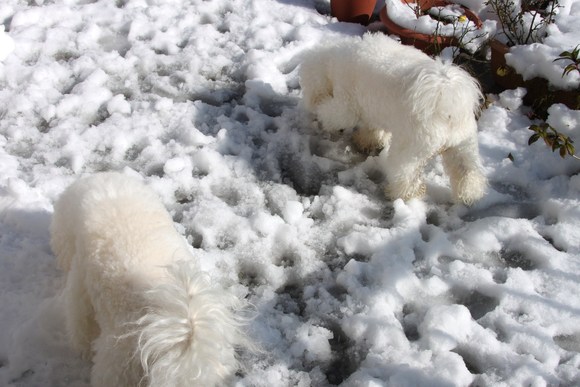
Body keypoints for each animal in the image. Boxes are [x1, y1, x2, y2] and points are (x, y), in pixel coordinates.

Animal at [302, 32, 488, 206]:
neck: (331, 62)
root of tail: (447, 99)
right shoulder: (372, 107)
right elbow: (372, 130)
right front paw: (367, 142)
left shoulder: (346, 104)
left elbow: (334, 114)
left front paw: (321, 114)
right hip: (463, 145)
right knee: (468, 172)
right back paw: (469, 194)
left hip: (411, 151)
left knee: (406, 176)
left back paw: (402, 195)